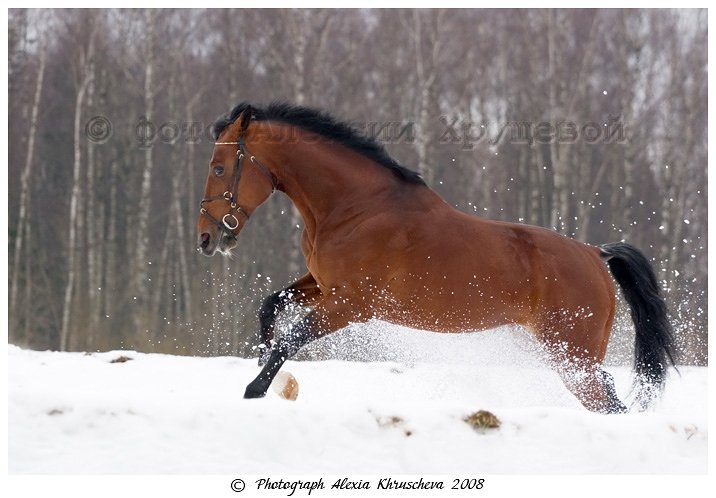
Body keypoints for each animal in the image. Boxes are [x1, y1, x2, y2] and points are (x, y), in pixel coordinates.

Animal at [197, 101, 676, 412]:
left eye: (219, 168)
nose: (206, 238)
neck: (356, 207)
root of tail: (596, 255)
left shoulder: (352, 303)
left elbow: (292, 338)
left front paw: (255, 389)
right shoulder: (323, 285)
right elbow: (272, 306)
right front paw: (264, 364)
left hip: (574, 355)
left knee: (608, 402)